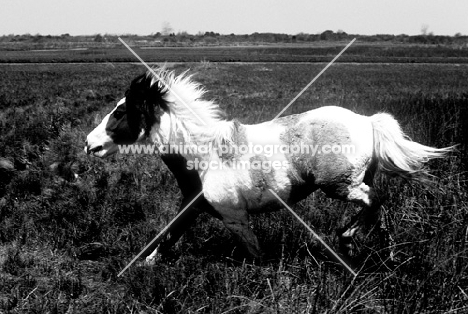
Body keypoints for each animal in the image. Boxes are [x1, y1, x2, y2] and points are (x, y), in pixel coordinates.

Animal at [85, 68, 454, 262]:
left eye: (121, 111)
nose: (90, 144)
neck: (205, 156)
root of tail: (367, 121)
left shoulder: (234, 217)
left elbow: (254, 253)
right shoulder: (193, 206)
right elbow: (167, 237)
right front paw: (145, 265)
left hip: (340, 186)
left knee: (374, 200)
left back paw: (347, 239)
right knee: (377, 209)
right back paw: (378, 251)